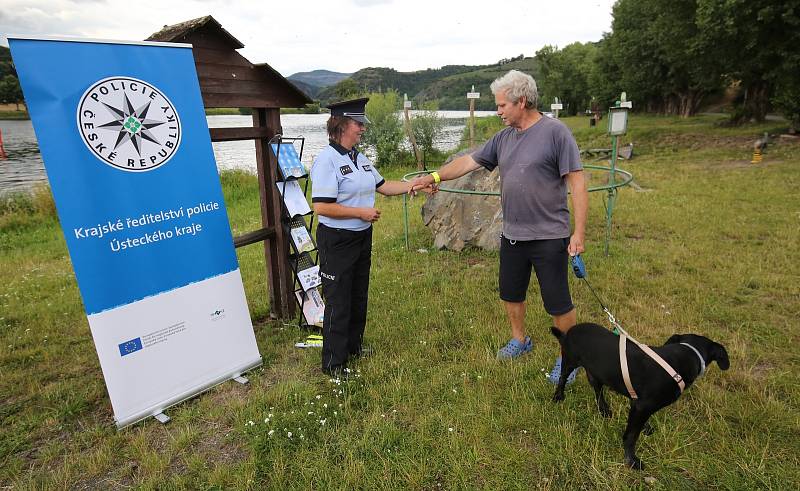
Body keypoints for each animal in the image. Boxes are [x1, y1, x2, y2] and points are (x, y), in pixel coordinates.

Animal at [552, 322, 728, 468]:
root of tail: (569, 331)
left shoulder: (638, 403)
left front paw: (646, 427)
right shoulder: (642, 406)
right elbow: (631, 436)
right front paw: (631, 460)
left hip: (597, 372)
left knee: (597, 389)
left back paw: (604, 409)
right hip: (570, 361)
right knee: (563, 378)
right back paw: (558, 396)